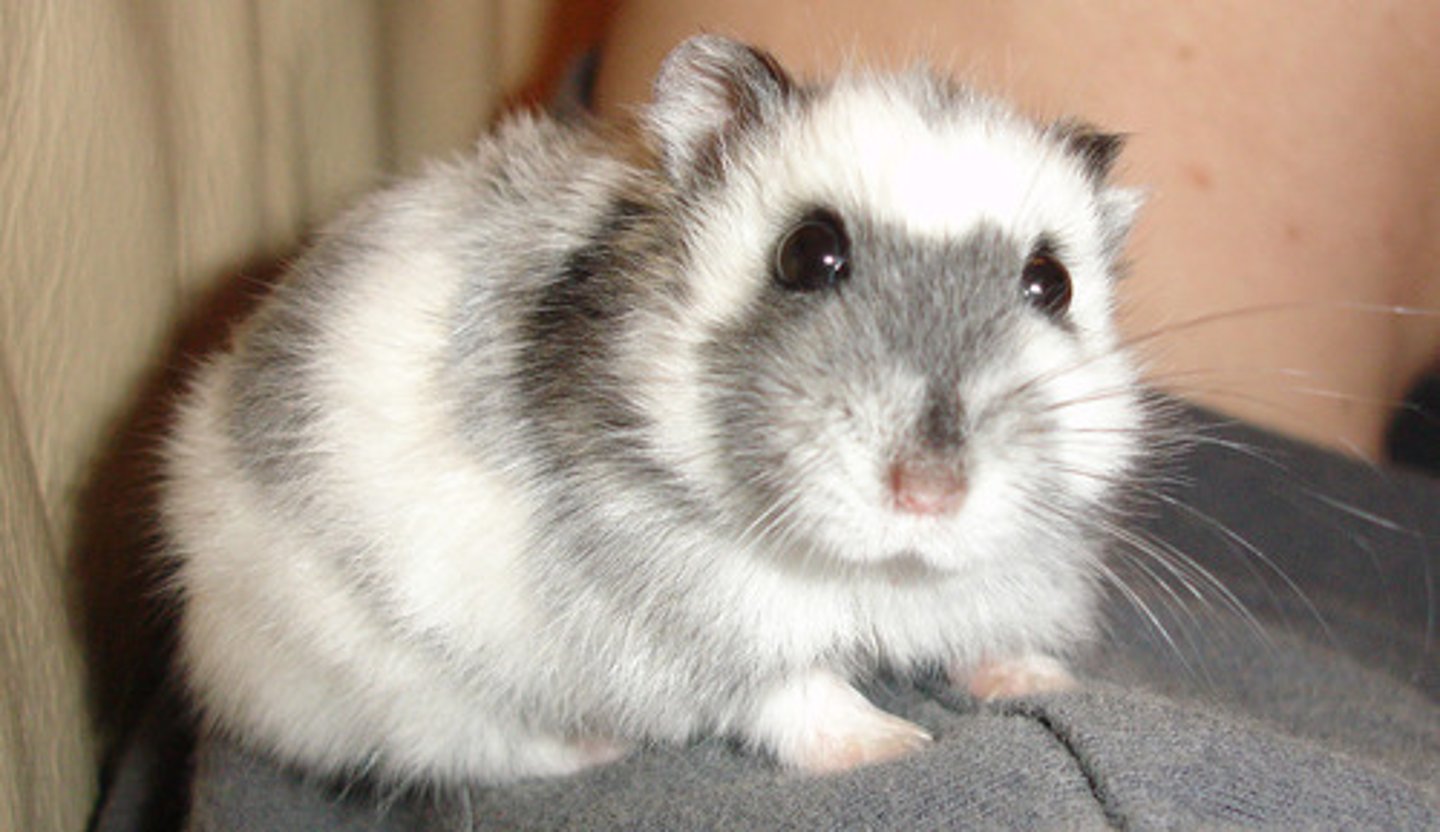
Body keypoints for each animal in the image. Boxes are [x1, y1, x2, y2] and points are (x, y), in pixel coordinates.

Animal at [162, 35, 1148, 786]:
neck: (879, 570)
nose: (930, 493)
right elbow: (792, 689)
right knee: (494, 748)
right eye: (807, 254)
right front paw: (892, 745)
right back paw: (596, 747)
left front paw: (1045, 684)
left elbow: (992, 635)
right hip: (394, 690)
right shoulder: (682, 614)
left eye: (1050, 283)